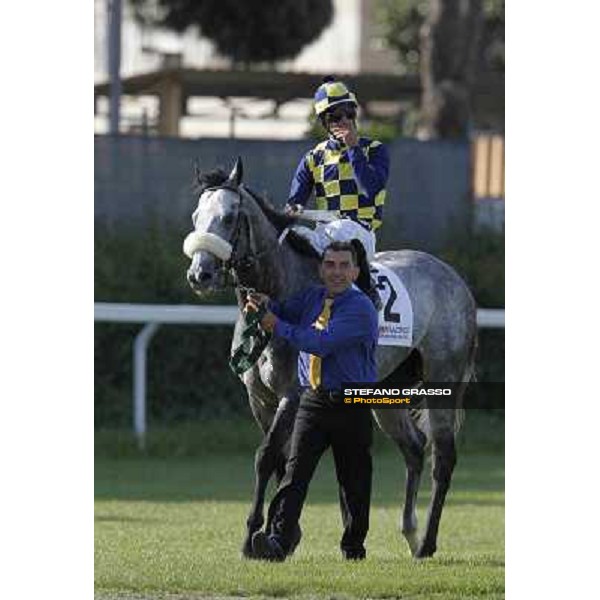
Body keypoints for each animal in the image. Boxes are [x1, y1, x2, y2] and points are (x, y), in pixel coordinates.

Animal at [185, 158, 476, 556]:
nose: (200, 273)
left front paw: (252, 537)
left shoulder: (292, 394)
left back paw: (427, 543)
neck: (287, 287)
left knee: (443, 459)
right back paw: (410, 531)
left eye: (229, 217)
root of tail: (455, 280)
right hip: (384, 394)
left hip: (443, 381)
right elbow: (281, 459)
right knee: (415, 448)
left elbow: (267, 456)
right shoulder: (259, 398)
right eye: (196, 215)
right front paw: (284, 534)